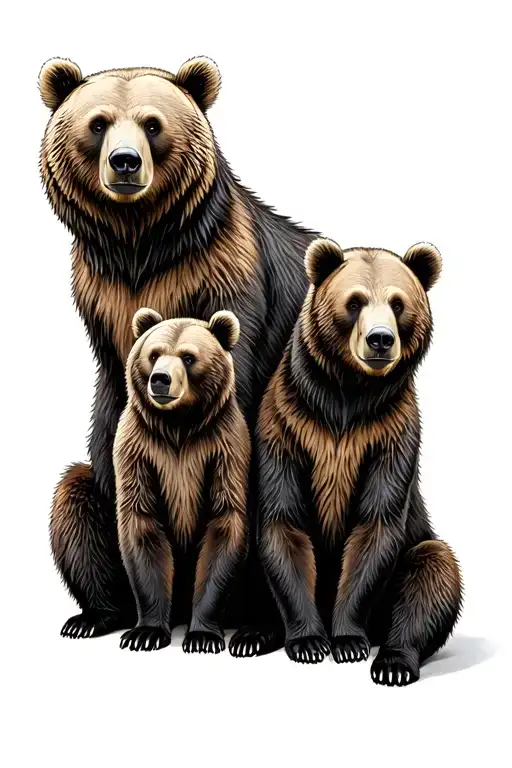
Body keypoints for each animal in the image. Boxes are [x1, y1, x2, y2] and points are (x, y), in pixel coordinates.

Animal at [114, 308, 249, 653]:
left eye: (188, 357)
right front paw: (145, 632)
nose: (160, 379)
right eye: (154, 354)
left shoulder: (221, 448)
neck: (178, 427)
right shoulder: (140, 449)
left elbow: (223, 522)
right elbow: (141, 523)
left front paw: (202, 635)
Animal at [257, 237, 462, 685]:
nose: (380, 339)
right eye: (354, 302)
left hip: (418, 549)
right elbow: (284, 521)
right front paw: (308, 641)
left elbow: (376, 526)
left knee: (433, 572)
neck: (347, 399)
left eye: (398, 303)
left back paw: (393, 660)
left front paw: (348, 640)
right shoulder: (288, 426)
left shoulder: (390, 435)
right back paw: (254, 633)